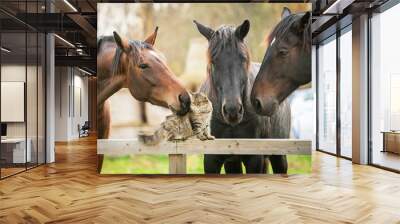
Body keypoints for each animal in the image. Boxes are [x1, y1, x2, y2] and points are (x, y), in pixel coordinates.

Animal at [195, 19, 290, 173]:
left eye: (243, 58)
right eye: (213, 61)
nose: (232, 110)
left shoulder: (254, 159)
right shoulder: (211, 159)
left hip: (279, 157)